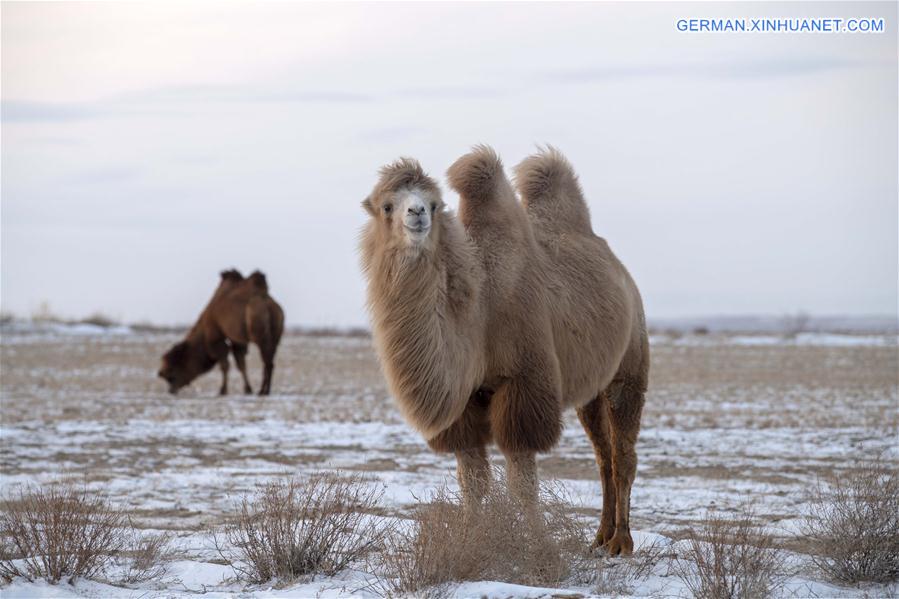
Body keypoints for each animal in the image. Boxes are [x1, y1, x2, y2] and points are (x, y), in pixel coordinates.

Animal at [358, 146, 648, 556]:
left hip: (630, 363)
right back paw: (600, 536)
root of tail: (623, 275)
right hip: (590, 389)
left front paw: (540, 545)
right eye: (387, 205)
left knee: (623, 454)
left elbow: (522, 483)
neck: (479, 311)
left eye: (434, 203)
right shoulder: (463, 402)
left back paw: (621, 542)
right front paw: (468, 540)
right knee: (602, 454)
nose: (416, 213)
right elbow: (472, 482)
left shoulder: (524, 383)